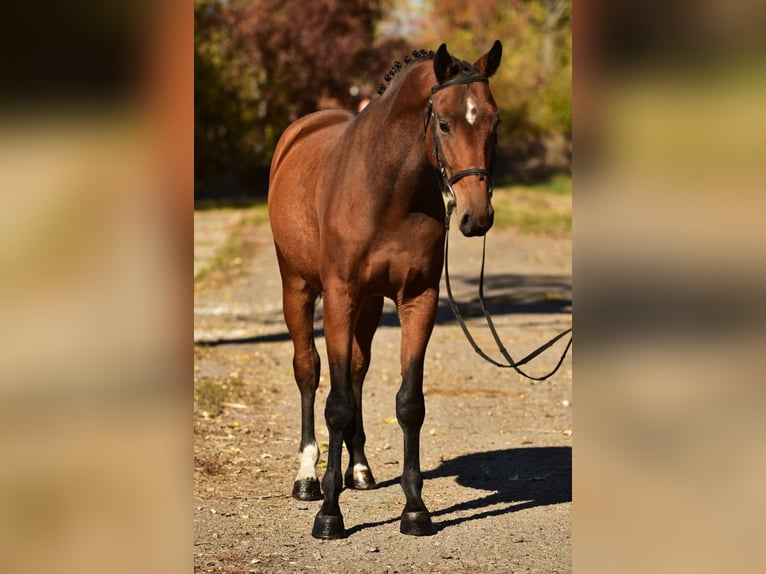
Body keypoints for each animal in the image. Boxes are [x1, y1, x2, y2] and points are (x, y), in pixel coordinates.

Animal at [267, 41, 503, 540]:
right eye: (444, 122)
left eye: (495, 122)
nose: (476, 217)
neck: (387, 190)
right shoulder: (339, 297)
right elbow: (335, 403)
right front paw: (329, 515)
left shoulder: (418, 300)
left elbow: (408, 403)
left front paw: (415, 510)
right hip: (297, 287)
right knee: (308, 370)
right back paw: (307, 478)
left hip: (372, 305)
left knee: (356, 369)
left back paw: (358, 469)